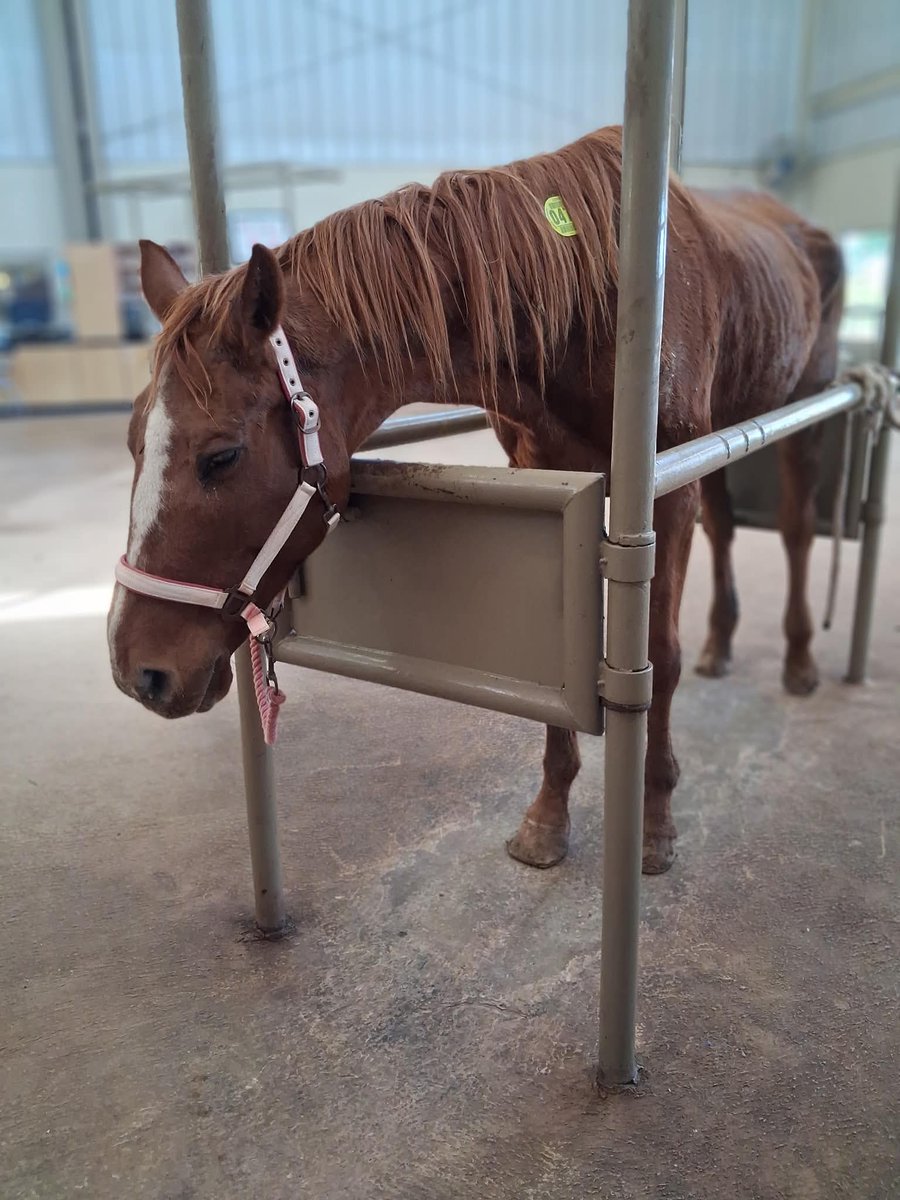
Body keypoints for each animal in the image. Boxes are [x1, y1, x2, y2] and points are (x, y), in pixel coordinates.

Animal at [108, 125, 843, 875]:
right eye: (133, 438)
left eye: (221, 455)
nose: (138, 671)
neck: (590, 305)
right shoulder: (549, 477)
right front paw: (547, 819)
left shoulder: (665, 494)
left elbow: (659, 658)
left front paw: (656, 823)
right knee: (726, 529)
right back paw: (721, 645)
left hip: (802, 416)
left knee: (795, 531)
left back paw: (800, 663)